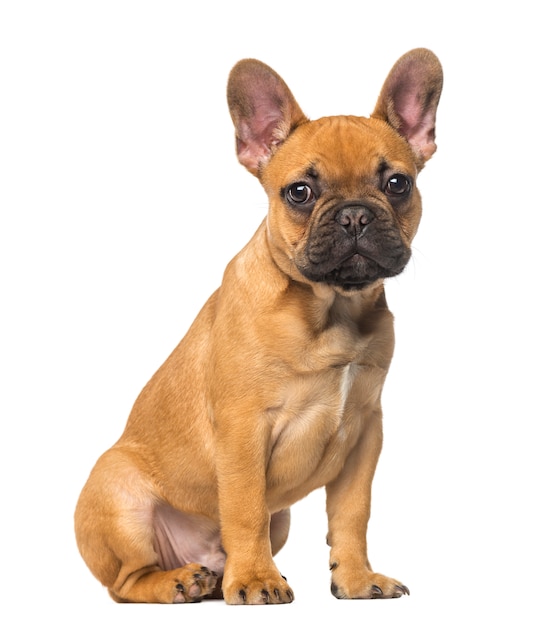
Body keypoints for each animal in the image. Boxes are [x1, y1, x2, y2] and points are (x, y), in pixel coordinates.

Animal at [75, 48, 444, 604]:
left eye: (398, 184)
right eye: (300, 192)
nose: (355, 216)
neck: (331, 309)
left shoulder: (365, 434)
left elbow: (353, 513)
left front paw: (357, 580)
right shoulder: (244, 428)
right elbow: (246, 507)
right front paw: (254, 581)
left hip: (283, 519)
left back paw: (217, 577)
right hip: (118, 493)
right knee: (128, 581)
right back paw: (184, 580)